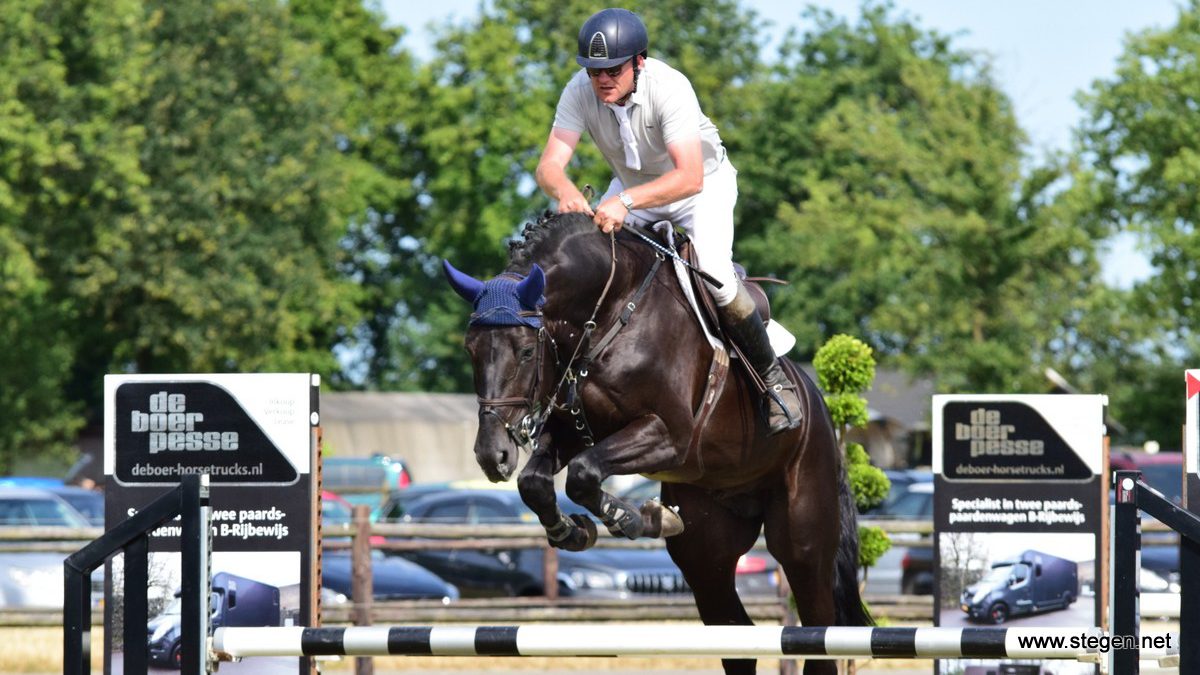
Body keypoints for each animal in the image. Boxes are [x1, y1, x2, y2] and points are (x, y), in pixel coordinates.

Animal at [441, 211, 873, 672]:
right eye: (470, 349)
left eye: (524, 350)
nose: (493, 455)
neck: (609, 312)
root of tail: (817, 402)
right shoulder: (574, 431)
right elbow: (535, 483)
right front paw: (573, 531)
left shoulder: (670, 435)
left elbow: (583, 474)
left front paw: (631, 517)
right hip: (706, 550)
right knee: (735, 632)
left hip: (802, 537)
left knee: (817, 627)